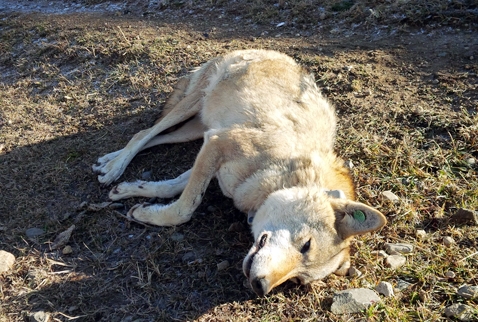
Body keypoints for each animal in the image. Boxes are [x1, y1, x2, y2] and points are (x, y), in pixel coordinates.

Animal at [91, 49, 386, 296]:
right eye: (307, 245)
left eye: (297, 280)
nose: (260, 287)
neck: (282, 170)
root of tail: (270, 51)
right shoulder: (216, 143)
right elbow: (185, 208)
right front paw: (144, 208)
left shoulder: (211, 151)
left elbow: (173, 187)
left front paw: (134, 196)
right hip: (192, 109)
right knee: (144, 133)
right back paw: (113, 167)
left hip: (195, 130)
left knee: (154, 138)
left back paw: (108, 161)